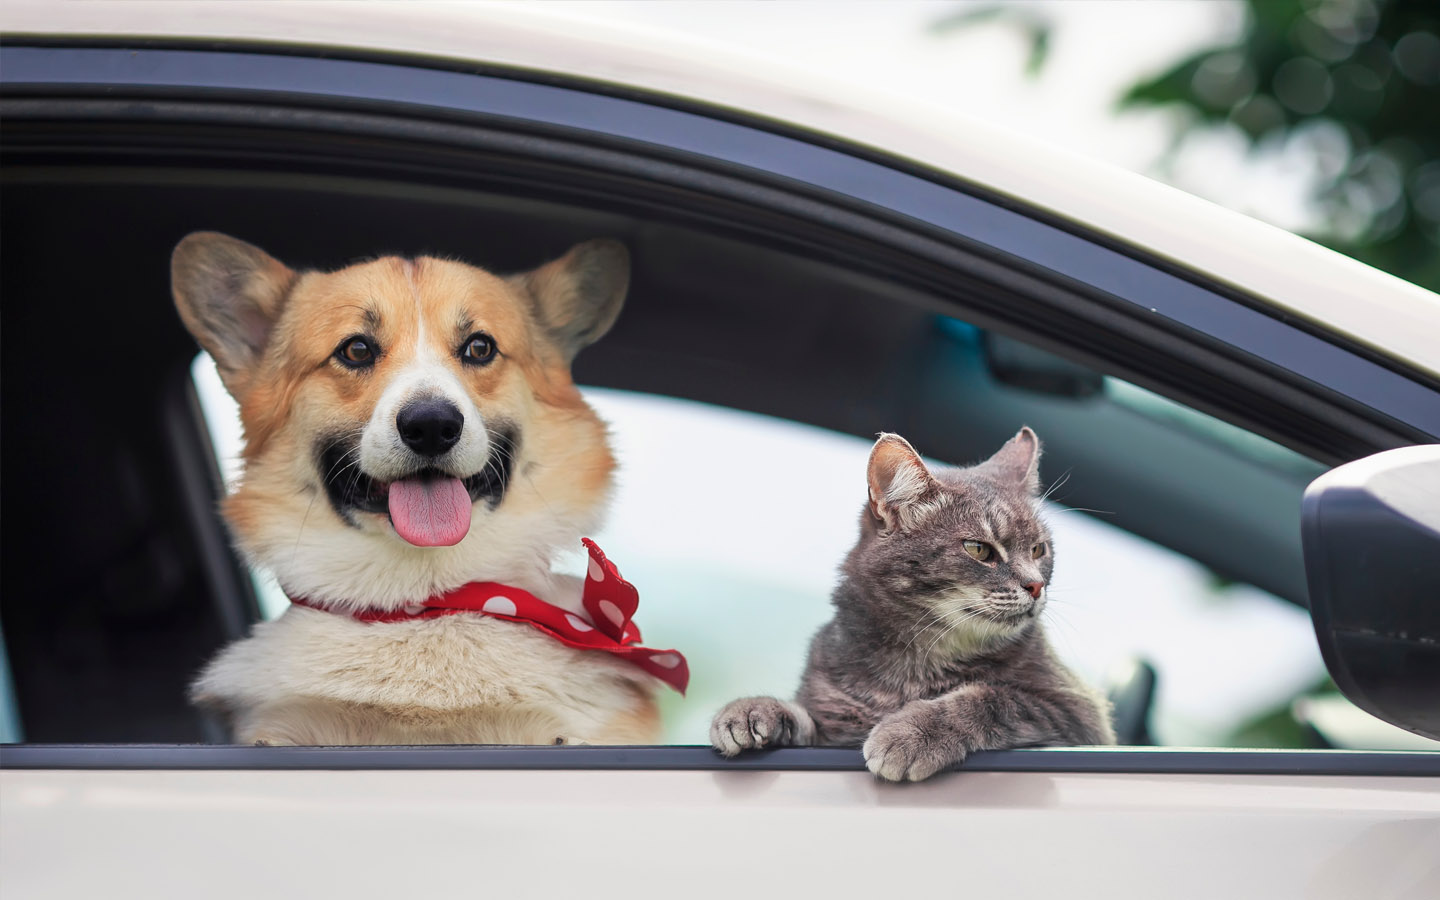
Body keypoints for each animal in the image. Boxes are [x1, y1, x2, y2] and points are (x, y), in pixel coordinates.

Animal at [708, 423, 1111, 777]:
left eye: (1039, 549)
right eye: (979, 549)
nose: (1036, 585)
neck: (916, 662)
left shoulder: (1078, 712)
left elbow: (993, 698)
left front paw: (913, 733)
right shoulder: (832, 721)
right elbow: (806, 719)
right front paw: (755, 710)